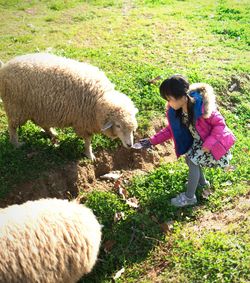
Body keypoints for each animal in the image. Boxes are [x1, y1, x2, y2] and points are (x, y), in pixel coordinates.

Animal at [0, 53, 139, 160]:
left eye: (133, 129)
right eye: (118, 125)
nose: (130, 145)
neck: (99, 99)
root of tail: (5, 66)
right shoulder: (83, 123)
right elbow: (88, 140)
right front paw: (89, 154)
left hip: (40, 109)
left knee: (42, 124)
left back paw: (53, 134)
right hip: (15, 107)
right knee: (12, 127)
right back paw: (16, 144)